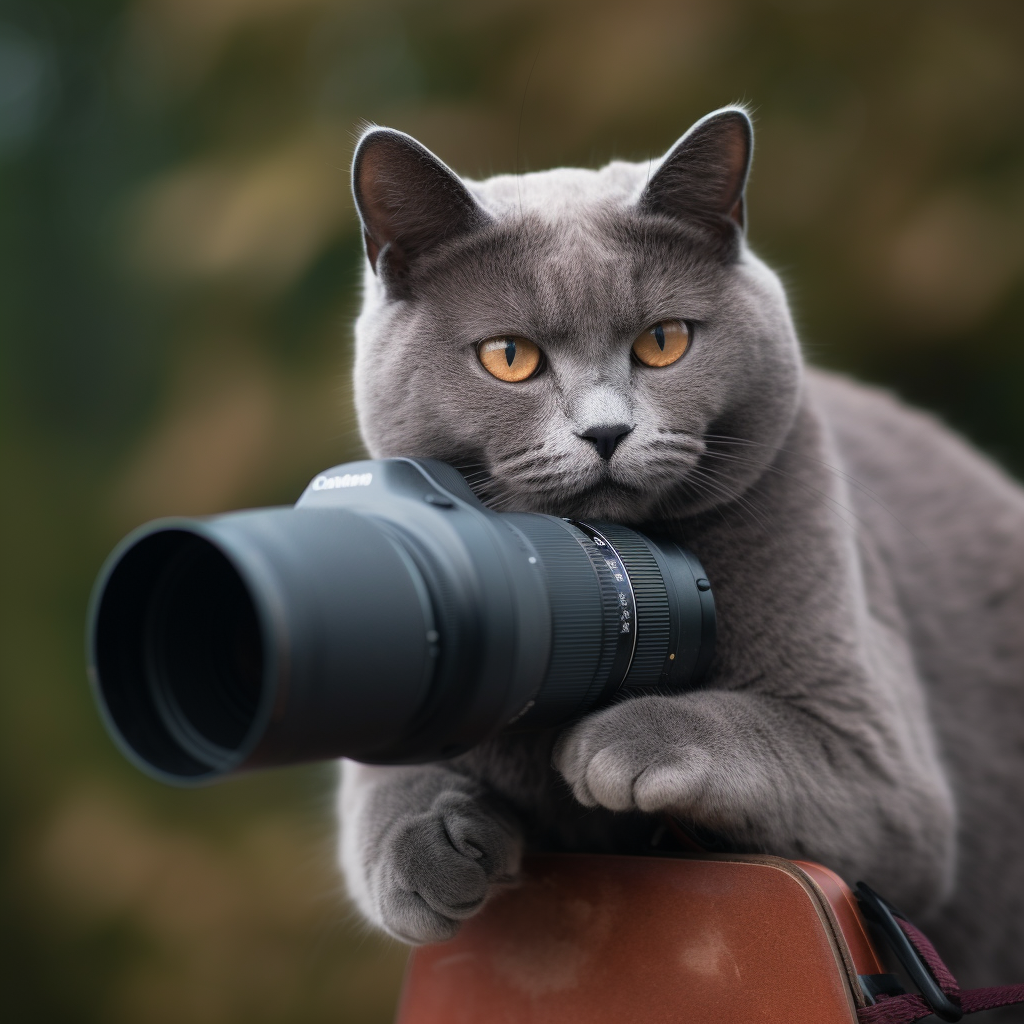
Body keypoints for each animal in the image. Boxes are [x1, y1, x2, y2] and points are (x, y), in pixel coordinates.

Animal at [335, 108, 1024, 987]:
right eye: (509, 356)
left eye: (663, 341)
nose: (606, 431)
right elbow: (384, 791)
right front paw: (428, 851)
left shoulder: (882, 769)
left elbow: (762, 732)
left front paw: (614, 744)